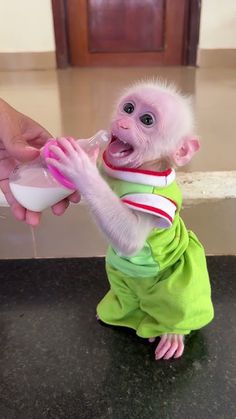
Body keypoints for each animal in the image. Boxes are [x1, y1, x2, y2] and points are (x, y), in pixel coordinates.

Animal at [46, 81, 214, 360]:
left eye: (146, 120)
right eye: (128, 108)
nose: (122, 123)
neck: (139, 169)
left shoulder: (154, 198)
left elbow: (132, 238)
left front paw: (79, 167)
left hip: (181, 281)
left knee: (180, 298)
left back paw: (172, 331)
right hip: (121, 281)